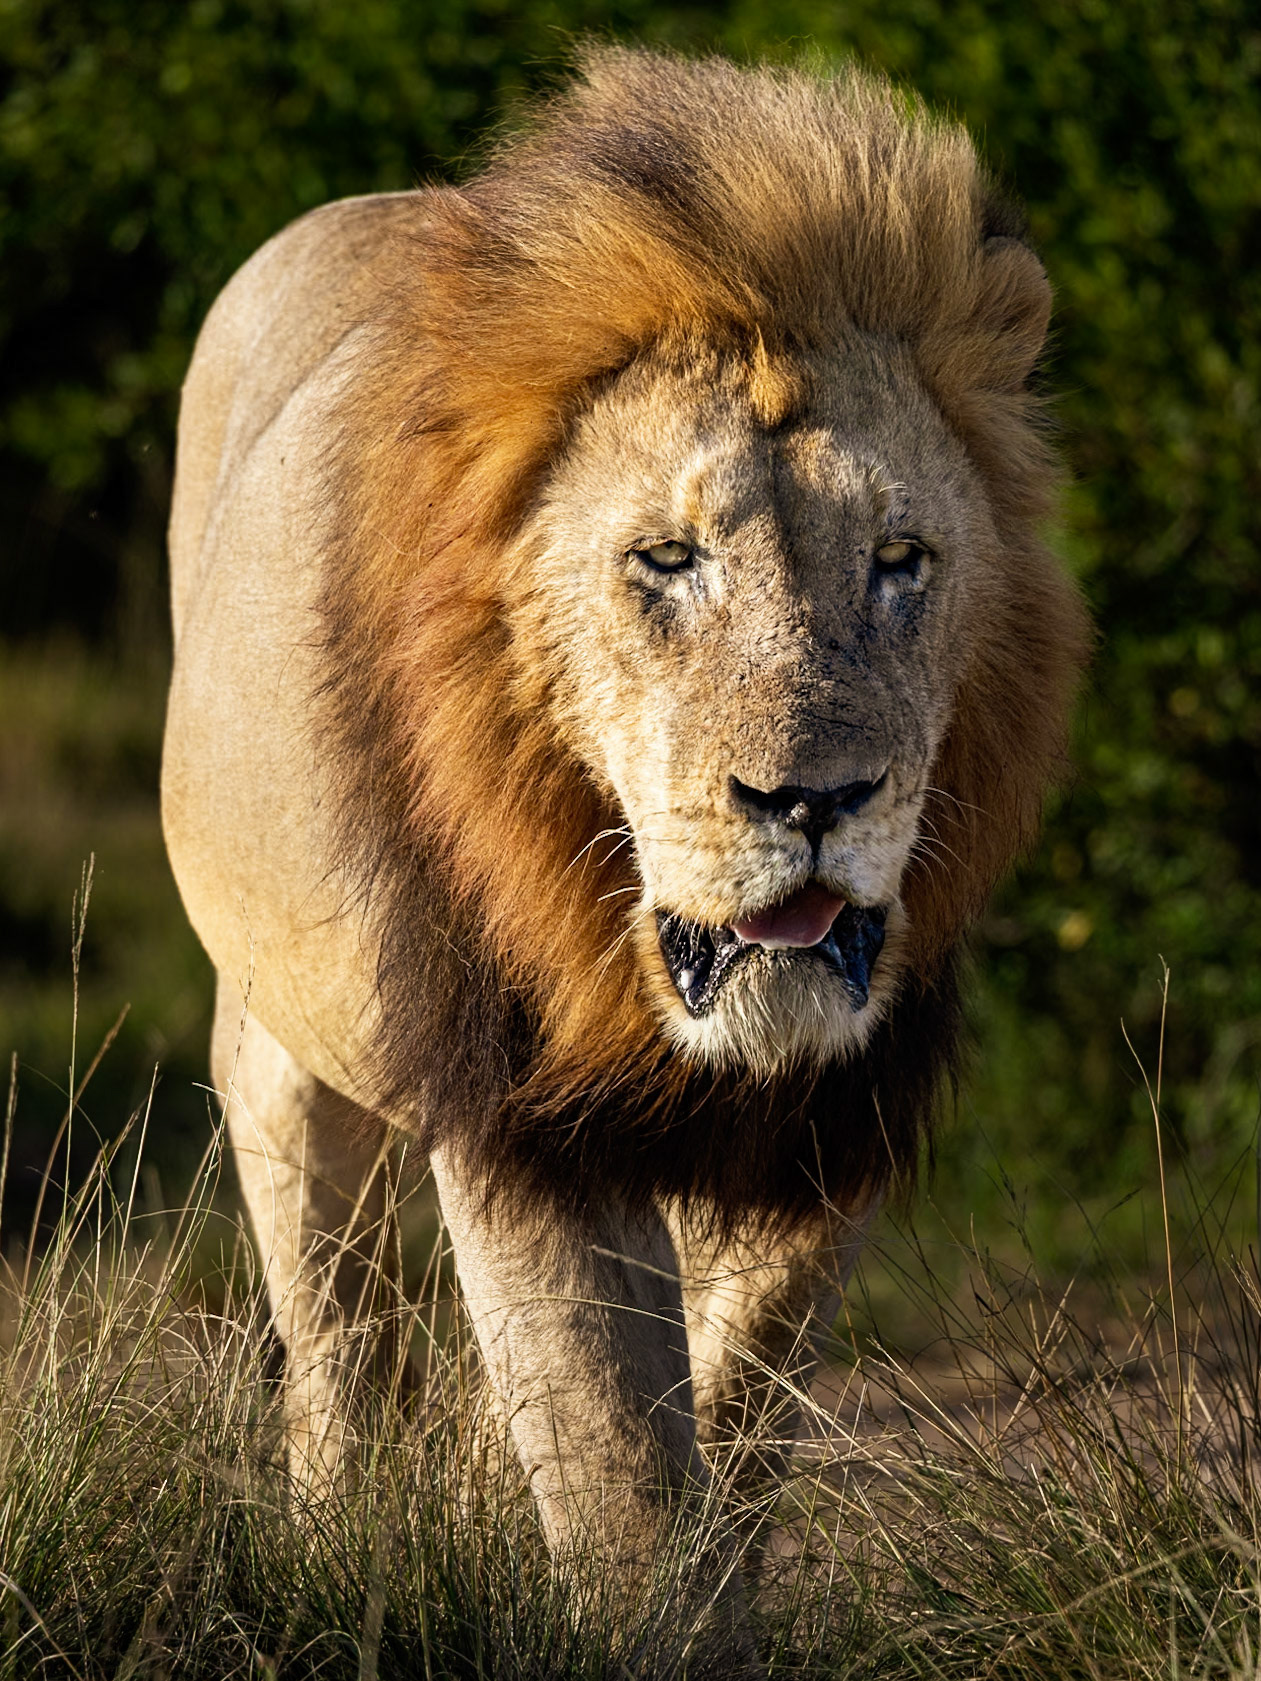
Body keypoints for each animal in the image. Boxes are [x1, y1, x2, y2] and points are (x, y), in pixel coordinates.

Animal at [162, 46, 1087, 1674]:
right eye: (667, 558)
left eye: (899, 561)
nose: (814, 798)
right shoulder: (525, 1117)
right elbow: (615, 1459)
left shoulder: (827, 1126)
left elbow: (732, 1403)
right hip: (281, 1038)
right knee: (333, 1326)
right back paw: (334, 1539)